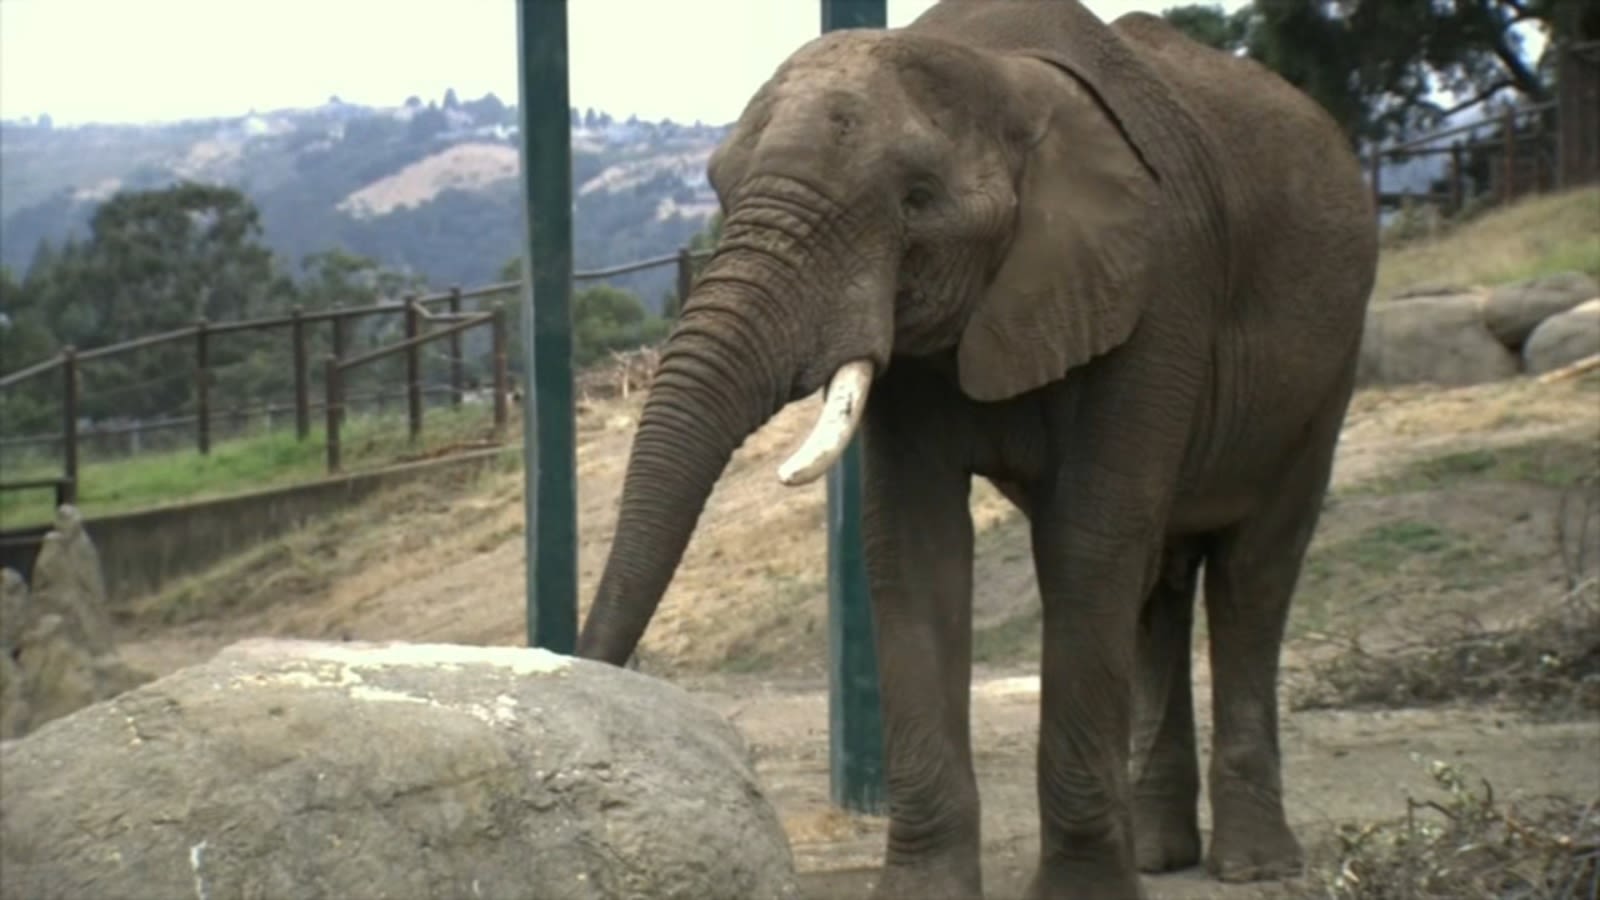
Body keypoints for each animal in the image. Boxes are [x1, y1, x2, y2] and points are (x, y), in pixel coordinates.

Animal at [576, 1, 1376, 896]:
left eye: (917, 202)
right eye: (718, 186)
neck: (1003, 72)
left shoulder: (1160, 289)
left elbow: (1087, 546)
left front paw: (1082, 897)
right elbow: (913, 547)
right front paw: (925, 892)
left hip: (1328, 365)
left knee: (1250, 572)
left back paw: (1252, 866)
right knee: (1160, 583)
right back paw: (1161, 856)